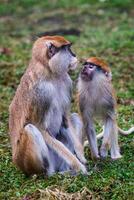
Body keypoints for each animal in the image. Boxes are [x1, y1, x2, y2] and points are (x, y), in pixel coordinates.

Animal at [9, 35, 87, 175]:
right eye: (67, 49)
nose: (75, 55)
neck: (50, 73)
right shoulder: (42, 93)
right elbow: (41, 128)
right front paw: (78, 166)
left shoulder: (67, 82)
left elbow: (66, 119)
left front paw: (80, 154)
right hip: (28, 161)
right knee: (30, 129)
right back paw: (48, 174)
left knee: (74, 117)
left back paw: (65, 170)